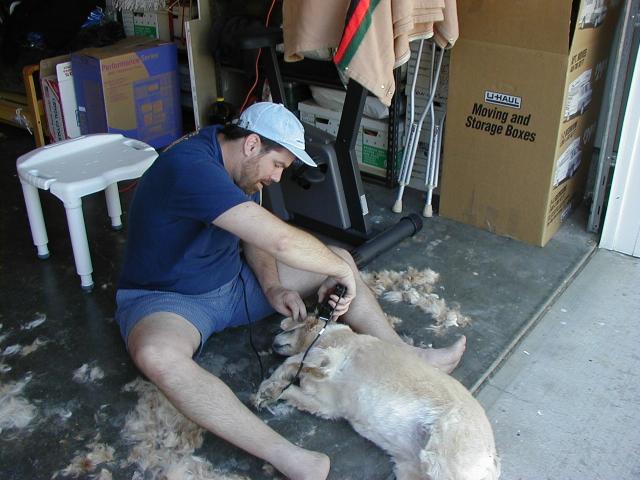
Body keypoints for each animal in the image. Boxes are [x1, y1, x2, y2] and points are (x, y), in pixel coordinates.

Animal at [253, 316, 500, 480]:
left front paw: (272, 382)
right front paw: (270, 392)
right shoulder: (326, 406)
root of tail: (492, 460)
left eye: (287, 329)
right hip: (411, 469)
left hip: (442, 460)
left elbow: (296, 360)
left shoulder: (330, 356)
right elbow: (293, 388)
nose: (272, 342)